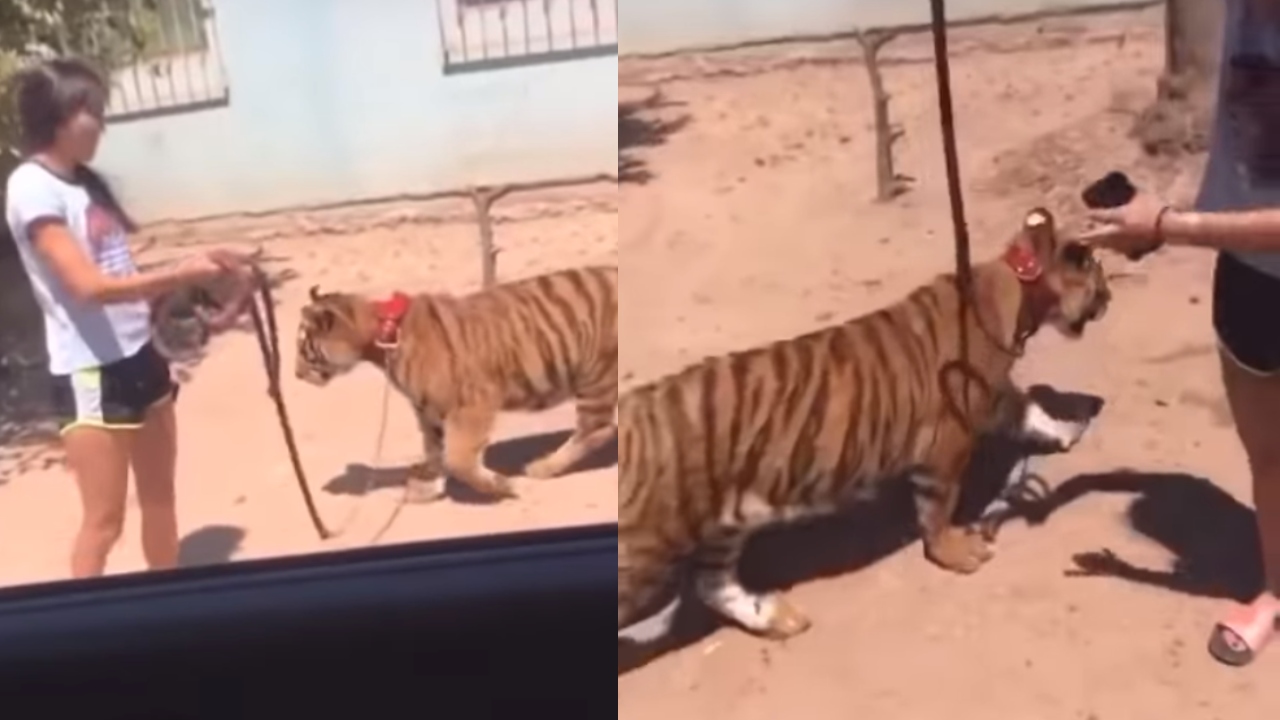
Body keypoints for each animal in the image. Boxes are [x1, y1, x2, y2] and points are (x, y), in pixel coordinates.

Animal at [295, 265, 617, 502]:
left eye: (303, 347)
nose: (296, 374)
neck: (380, 337)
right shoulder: (427, 409)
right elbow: (435, 451)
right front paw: (427, 488)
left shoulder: (472, 403)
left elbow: (458, 458)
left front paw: (502, 486)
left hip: (596, 374)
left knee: (597, 429)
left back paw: (542, 467)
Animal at [617, 208, 1111, 643]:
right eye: (1095, 271)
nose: (1109, 296)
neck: (1014, 296)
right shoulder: (948, 440)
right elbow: (938, 509)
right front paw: (957, 554)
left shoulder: (993, 396)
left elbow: (1029, 412)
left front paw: (1066, 429)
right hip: (646, 551)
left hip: (724, 524)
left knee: (711, 583)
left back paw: (777, 617)